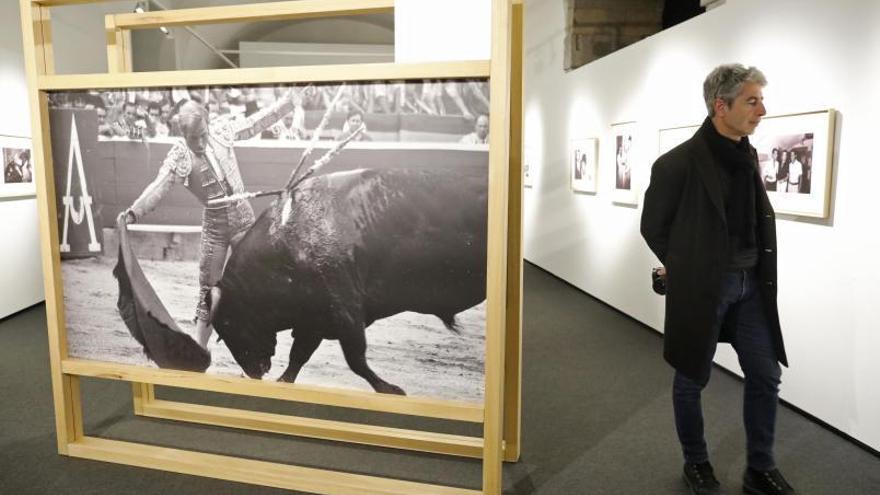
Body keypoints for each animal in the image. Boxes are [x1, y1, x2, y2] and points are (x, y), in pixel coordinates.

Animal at [211, 168, 492, 396]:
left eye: (230, 322)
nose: (253, 371)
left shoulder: (345, 311)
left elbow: (355, 359)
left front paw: (390, 390)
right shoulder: (313, 319)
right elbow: (299, 355)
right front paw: (283, 382)